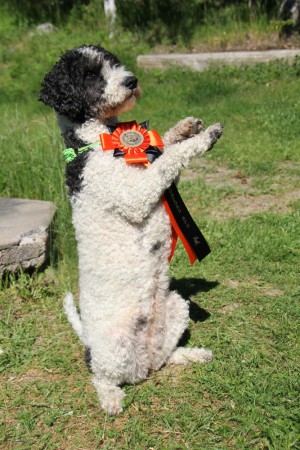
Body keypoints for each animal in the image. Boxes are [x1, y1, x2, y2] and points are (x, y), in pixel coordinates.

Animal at [39, 44, 223, 414]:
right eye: (91, 75)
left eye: (113, 62)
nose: (131, 81)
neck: (99, 141)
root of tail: (141, 366)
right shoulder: (135, 194)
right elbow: (168, 159)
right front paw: (201, 137)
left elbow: (162, 149)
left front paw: (184, 128)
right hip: (112, 348)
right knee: (100, 376)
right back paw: (110, 398)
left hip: (176, 307)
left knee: (164, 358)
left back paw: (191, 354)